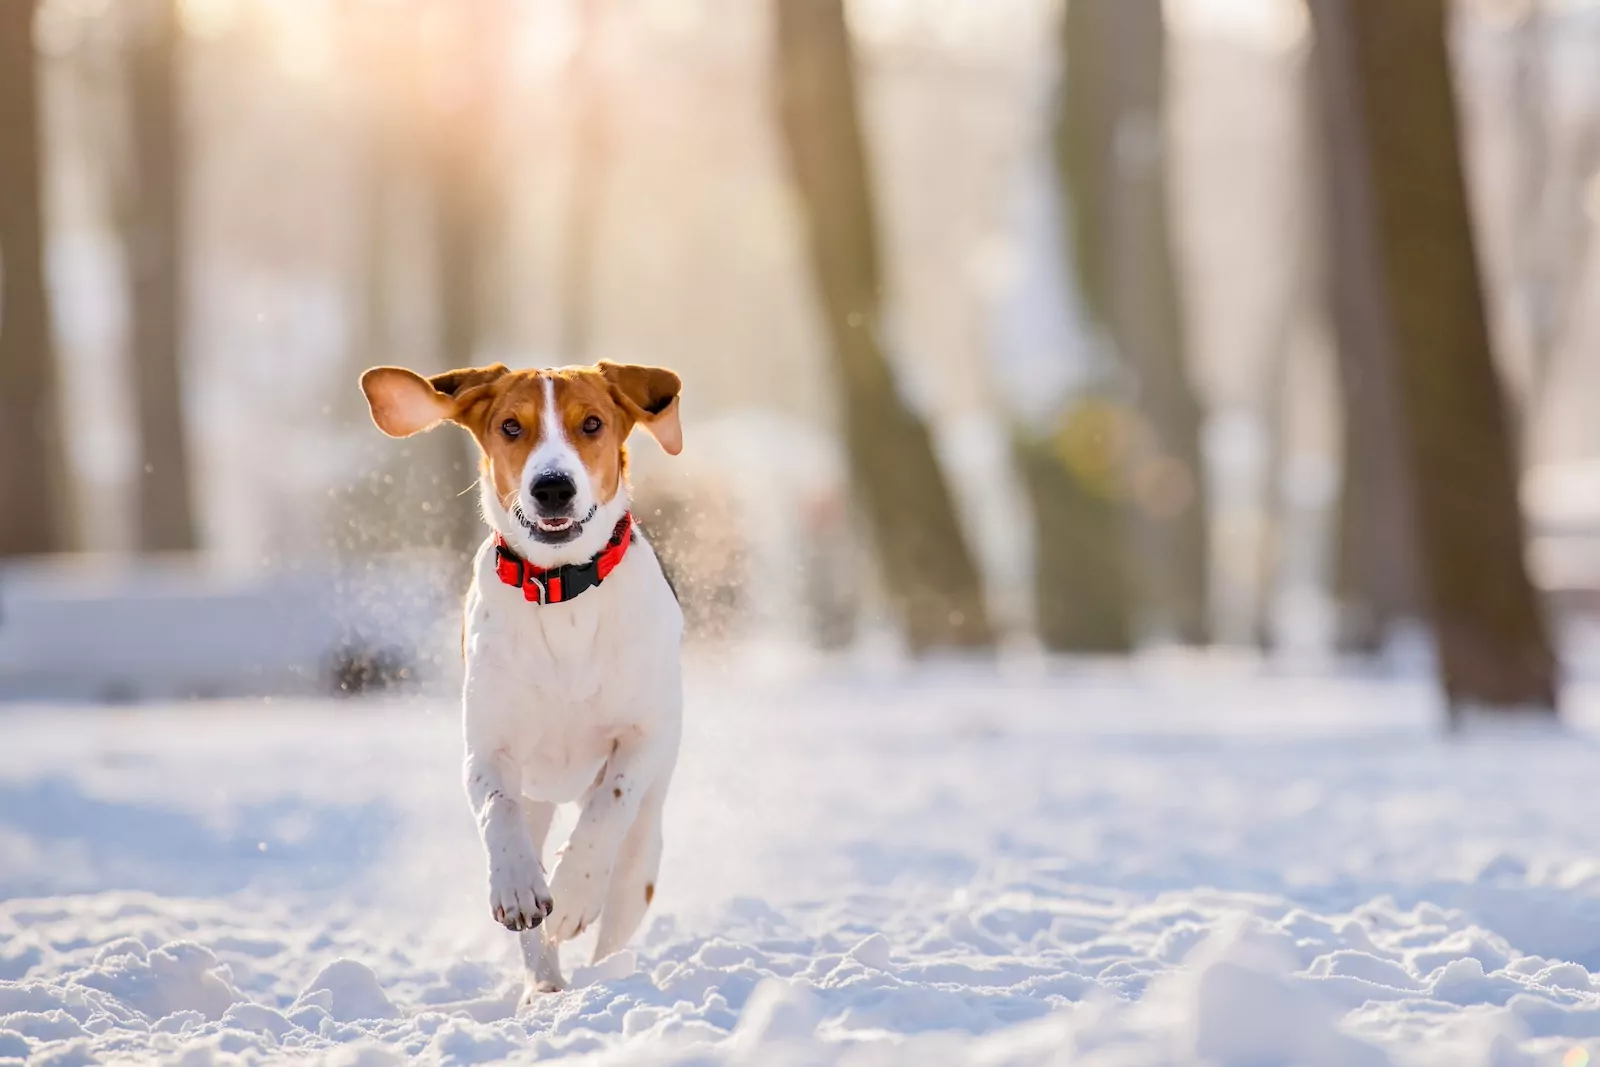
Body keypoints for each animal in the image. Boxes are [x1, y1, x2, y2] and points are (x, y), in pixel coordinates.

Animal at [360, 363, 684, 998]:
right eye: (511, 426)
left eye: (592, 424)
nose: (552, 486)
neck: (559, 588)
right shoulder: (488, 748)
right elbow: (497, 808)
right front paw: (516, 887)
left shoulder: (643, 736)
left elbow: (610, 801)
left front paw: (576, 889)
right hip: (541, 803)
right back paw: (545, 987)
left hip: (646, 851)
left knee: (617, 904)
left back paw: (605, 976)